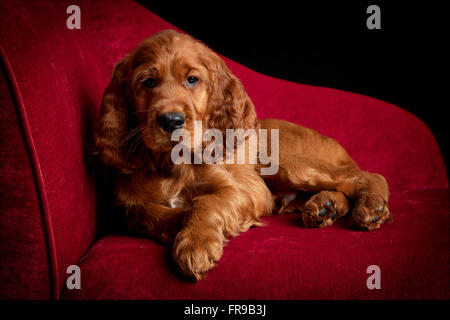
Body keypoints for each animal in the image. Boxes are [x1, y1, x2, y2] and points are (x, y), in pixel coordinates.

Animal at [94, 30, 390, 280]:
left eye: (192, 79)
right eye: (148, 82)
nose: (171, 121)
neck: (171, 164)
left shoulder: (242, 191)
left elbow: (206, 202)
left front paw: (196, 243)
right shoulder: (127, 206)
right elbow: (149, 213)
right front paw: (182, 225)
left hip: (282, 162)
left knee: (368, 175)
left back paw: (371, 206)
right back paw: (324, 207)